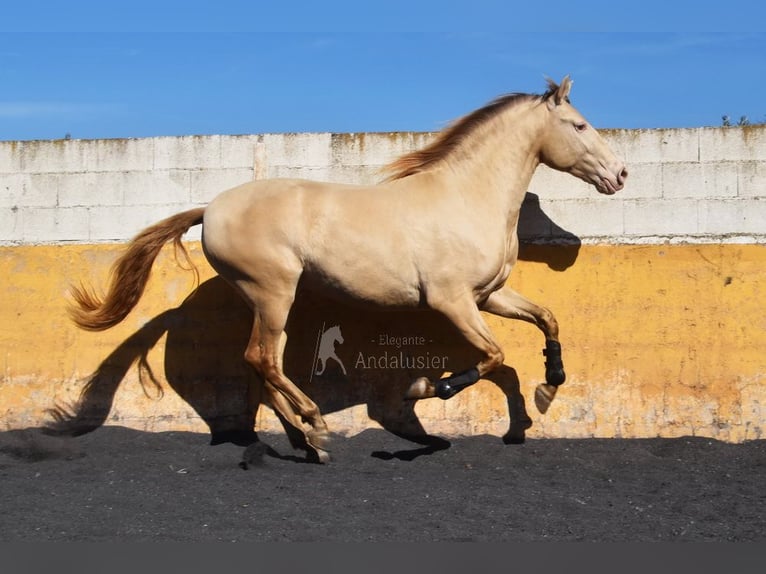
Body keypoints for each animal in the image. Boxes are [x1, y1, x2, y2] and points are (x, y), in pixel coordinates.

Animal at [69, 76, 628, 464]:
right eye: (579, 125)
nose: (620, 175)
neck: (467, 197)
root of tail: (209, 208)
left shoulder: (487, 296)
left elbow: (544, 322)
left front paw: (547, 390)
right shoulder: (452, 301)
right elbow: (493, 357)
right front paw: (425, 391)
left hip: (268, 300)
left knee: (262, 367)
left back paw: (309, 442)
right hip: (274, 292)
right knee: (262, 359)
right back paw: (317, 427)